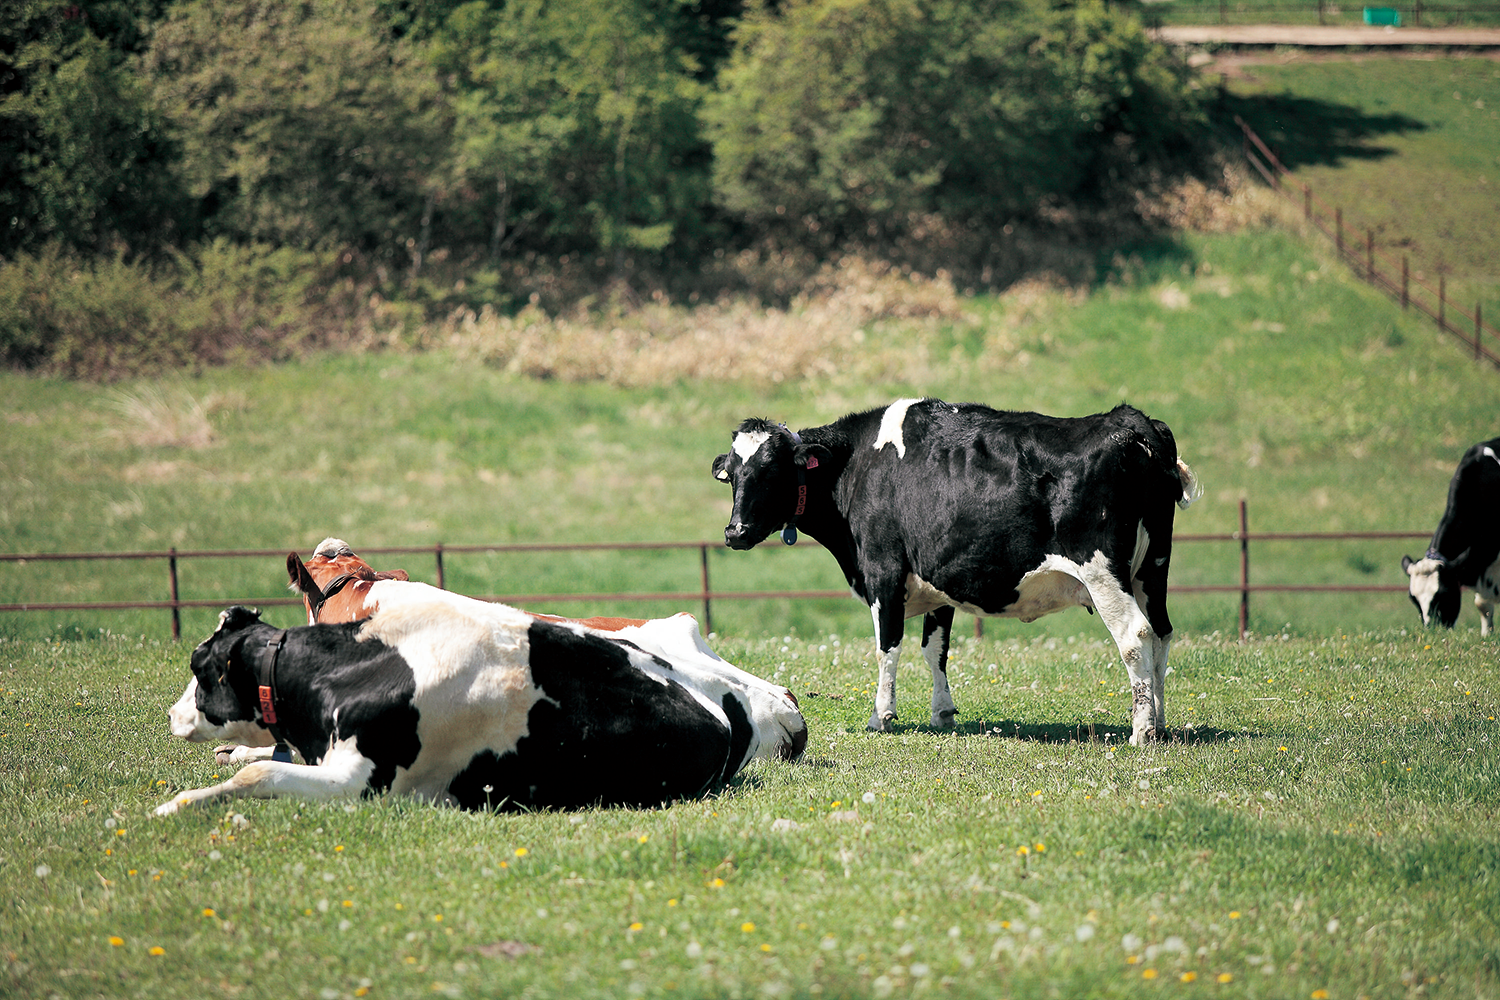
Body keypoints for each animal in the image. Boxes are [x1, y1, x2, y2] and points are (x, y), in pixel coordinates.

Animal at [156, 587, 804, 815]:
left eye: (198, 666)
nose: (171, 714)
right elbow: (265, 762)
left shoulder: (361, 782)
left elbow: (261, 773)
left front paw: (177, 805)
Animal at [708, 395, 1200, 746]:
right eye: (731, 474)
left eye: (772, 471)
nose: (734, 531)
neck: (857, 465)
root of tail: (1129, 421)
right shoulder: (936, 580)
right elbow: (935, 649)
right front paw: (942, 712)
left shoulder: (884, 570)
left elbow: (888, 648)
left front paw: (881, 716)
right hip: (1153, 567)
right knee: (1161, 633)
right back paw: (1160, 722)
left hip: (1103, 571)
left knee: (1136, 636)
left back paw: (1141, 730)